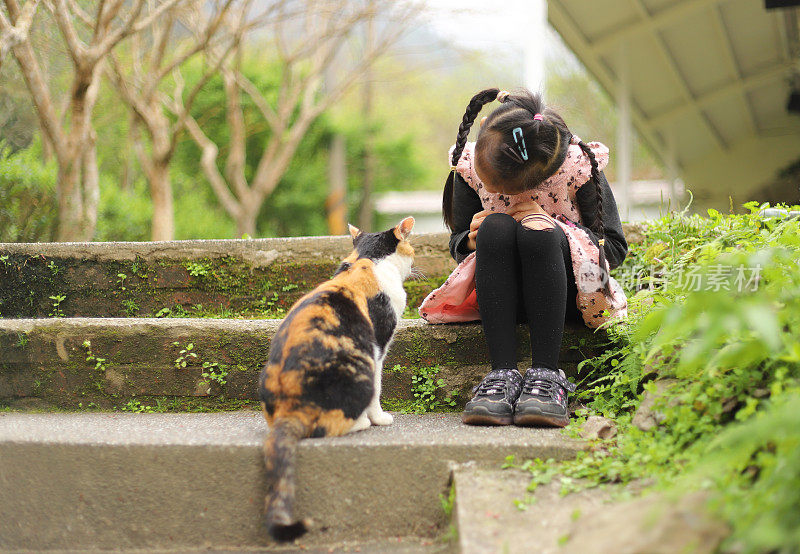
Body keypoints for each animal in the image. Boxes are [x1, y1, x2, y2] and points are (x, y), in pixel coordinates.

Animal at [258, 216, 418, 540]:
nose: (416, 261)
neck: (366, 259)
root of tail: (290, 408)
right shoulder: (378, 347)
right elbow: (379, 389)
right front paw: (380, 418)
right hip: (359, 364)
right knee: (330, 425)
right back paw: (362, 422)